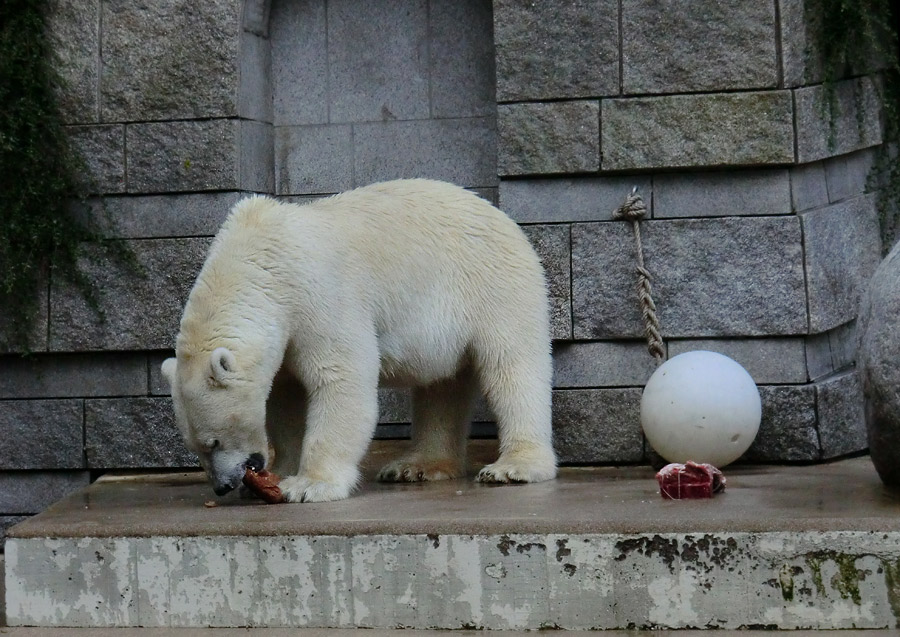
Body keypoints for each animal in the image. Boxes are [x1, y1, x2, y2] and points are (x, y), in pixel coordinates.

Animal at [162, 179, 556, 502]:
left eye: (213, 440)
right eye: (194, 446)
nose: (223, 486)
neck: (260, 259)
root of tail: (503, 217)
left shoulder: (319, 296)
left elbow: (341, 378)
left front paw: (308, 485)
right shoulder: (286, 331)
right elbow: (285, 398)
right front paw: (281, 472)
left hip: (492, 285)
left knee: (512, 368)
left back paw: (514, 466)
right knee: (441, 385)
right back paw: (416, 465)